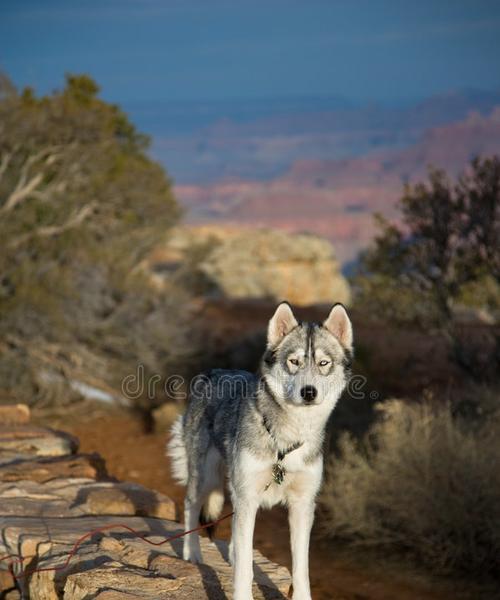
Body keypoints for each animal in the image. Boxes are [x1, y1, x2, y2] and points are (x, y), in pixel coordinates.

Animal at [170, 302, 354, 600]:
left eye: (324, 363)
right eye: (294, 362)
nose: (309, 392)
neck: (287, 442)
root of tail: (214, 372)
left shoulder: (302, 505)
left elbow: (301, 569)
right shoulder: (248, 496)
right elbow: (244, 570)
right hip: (206, 479)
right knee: (190, 507)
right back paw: (193, 555)